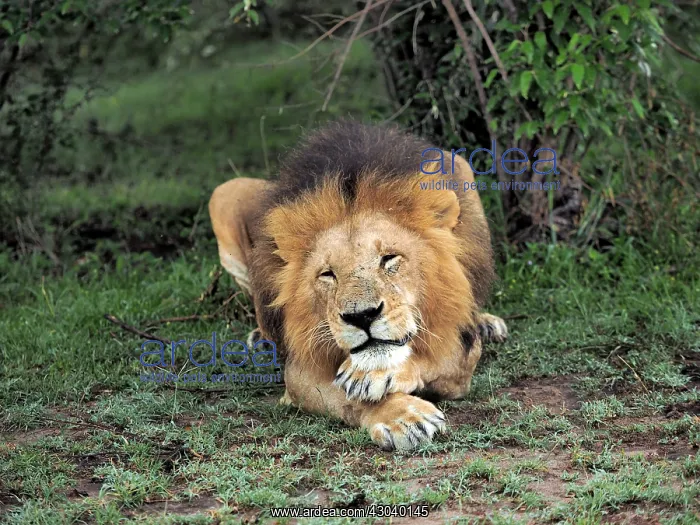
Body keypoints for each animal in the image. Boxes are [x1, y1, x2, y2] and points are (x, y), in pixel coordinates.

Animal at [209, 121, 507, 451]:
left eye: (389, 258)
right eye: (328, 275)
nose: (362, 316)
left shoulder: (460, 347)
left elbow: (436, 361)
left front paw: (376, 376)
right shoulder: (300, 372)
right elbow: (347, 397)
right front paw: (404, 416)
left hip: (460, 165)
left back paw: (487, 323)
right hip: (225, 193)